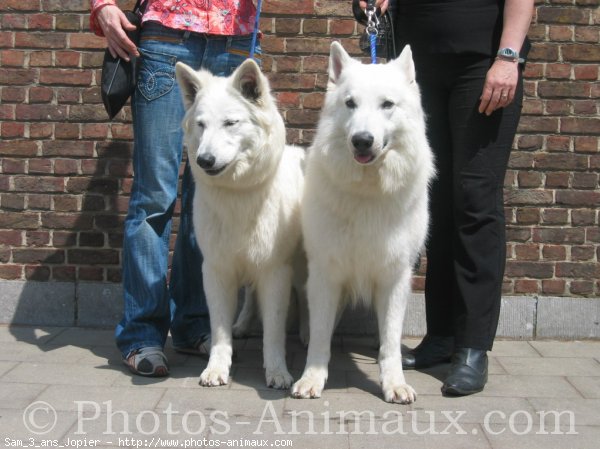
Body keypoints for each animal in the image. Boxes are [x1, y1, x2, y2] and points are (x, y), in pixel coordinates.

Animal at [173, 58, 304, 388]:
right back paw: (243, 325)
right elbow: (219, 330)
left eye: (230, 123)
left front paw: (277, 371)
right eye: (201, 125)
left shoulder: (275, 270)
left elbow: (274, 331)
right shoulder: (217, 269)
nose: (204, 160)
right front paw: (217, 368)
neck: (239, 193)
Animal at [290, 42, 432, 402]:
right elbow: (321, 333)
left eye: (387, 105)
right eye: (350, 103)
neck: (368, 190)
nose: (362, 140)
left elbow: (391, 342)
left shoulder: (395, 277)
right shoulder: (325, 272)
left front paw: (394, 383)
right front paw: (312, 378)